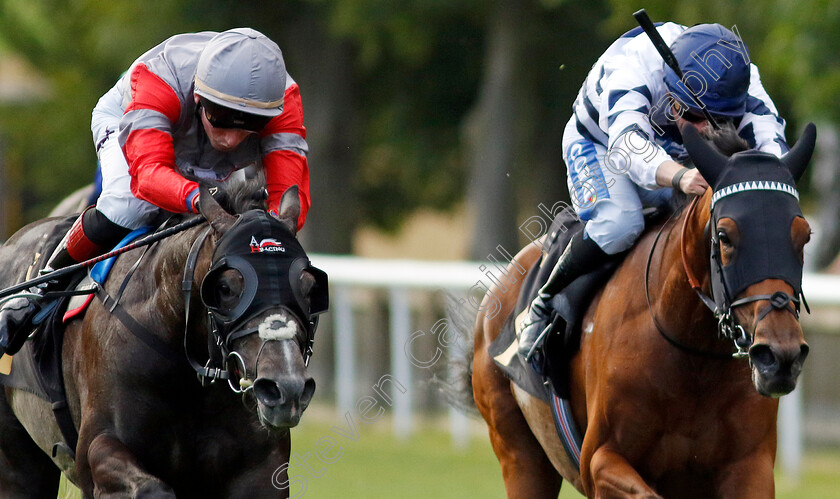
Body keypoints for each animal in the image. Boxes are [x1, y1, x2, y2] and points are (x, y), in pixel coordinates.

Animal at [0, 186, 324, 498]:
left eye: (309, 288)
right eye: (224, 287)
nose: (287, 388)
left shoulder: (260, 469)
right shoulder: (97, 449)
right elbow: (149, 487)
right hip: (19, 463)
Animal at [466, 123, 812, 498]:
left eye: (804, 235)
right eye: (724, 236)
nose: (780, 355)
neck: (692, 356)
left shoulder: (750, 466)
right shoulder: (599, 460)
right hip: (519, 454)